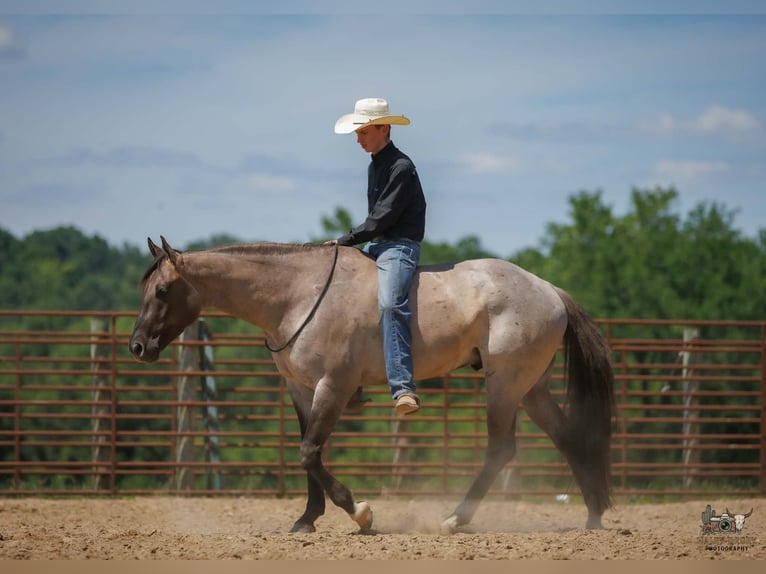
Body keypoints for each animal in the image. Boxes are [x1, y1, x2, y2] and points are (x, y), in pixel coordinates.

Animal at [129, 236, 614, 534]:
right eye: (145, 288)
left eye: (164, 290)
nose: (137, 346)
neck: (297, 294)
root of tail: (549, 290)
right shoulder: (301, 389)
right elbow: (309, 451)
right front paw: (307, 519)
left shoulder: (334, 386)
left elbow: (310, 451)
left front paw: (359, 512)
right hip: (531, 389)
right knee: (569, 438)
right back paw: (593, 516)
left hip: (505, 386)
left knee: (500, 450)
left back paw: (455, 519)